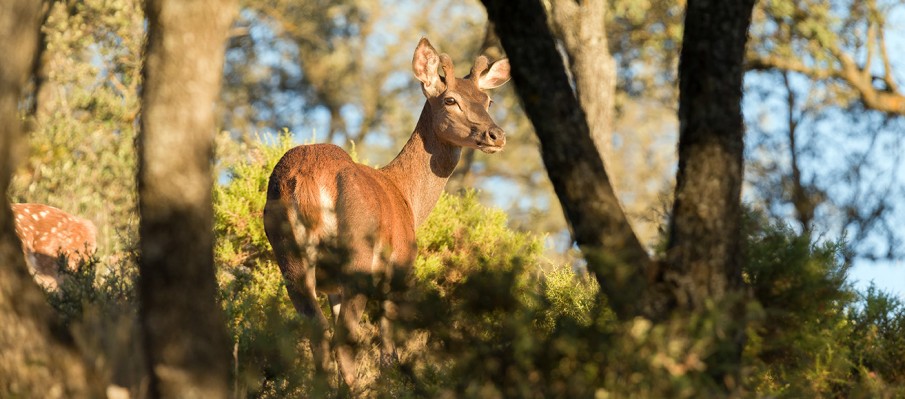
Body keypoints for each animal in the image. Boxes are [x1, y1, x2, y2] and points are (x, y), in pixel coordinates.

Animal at [264, 38, 512, 390]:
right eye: (450, 99)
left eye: (488, 100)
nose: (496, 135)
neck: (407, 197)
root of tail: (308, 180)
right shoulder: (400, 267)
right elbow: (388, 351)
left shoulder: (334, 288)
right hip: (358, 253)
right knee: (344, 338)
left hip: (290, 259)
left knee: (319, 334)